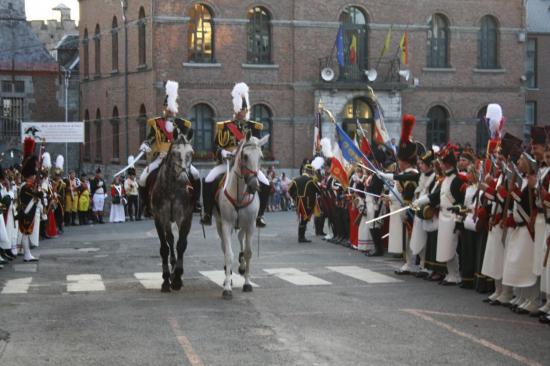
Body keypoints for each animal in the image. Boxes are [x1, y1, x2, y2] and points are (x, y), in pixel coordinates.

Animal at [151, 134, 196, 292]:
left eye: (191, 153)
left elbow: (181, 244)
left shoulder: (185, 217)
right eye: (175, 153)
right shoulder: (160, 217)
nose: (184, 179)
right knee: (169, 239)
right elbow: (164, 247)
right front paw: (166, 279)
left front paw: (177, 278)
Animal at [215, 135, 270, 300]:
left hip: (245, 225)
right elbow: (228, 254)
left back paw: (241, 265)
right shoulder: (226, 224)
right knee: (224, 247)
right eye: (245, 156)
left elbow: (248, 252)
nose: (254, 186)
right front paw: (227, 287)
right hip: (220, 225)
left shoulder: (251, 225)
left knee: (241, 239)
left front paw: (247, 283)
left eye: (261, 157)